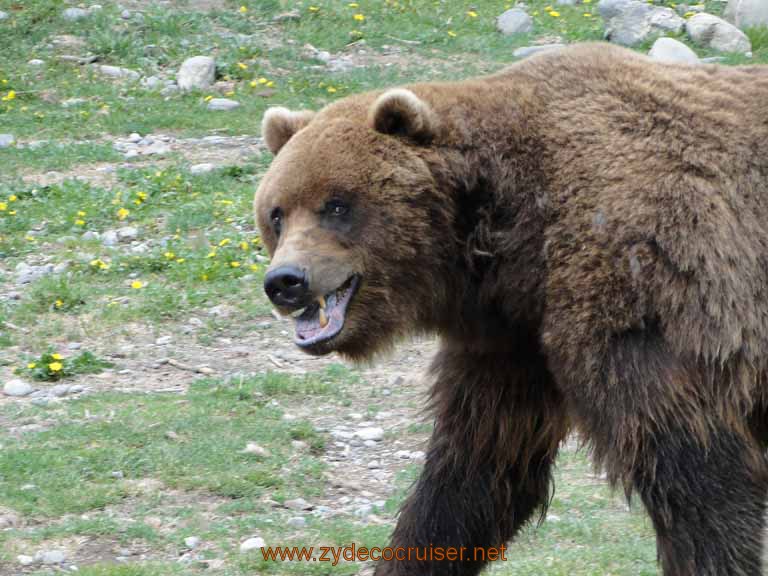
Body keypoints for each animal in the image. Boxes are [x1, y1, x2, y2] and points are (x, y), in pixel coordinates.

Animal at [255, 42, 768, 572]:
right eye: (277, 213)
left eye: (337, 205)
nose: (285, 281)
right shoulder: (512, 341)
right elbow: (477, 471)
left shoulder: (645, 284)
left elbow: (693, 470)